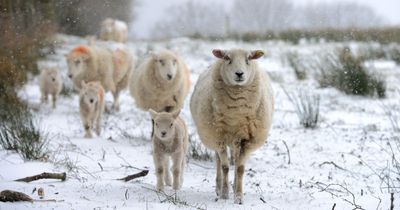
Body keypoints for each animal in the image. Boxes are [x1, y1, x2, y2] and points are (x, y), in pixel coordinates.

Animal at [189, 48, 274, 203]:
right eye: (227, 58)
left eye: (248, 59)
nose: (239, 73)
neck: (235, 112)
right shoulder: (219, 138)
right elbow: (224, 167)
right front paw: (224, 194)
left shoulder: (247, 140)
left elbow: (240, 168)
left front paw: (238, 197)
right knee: (218, 160)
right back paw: (219, 188)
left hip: (236, 140)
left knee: (235, 159)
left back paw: (234, 187)